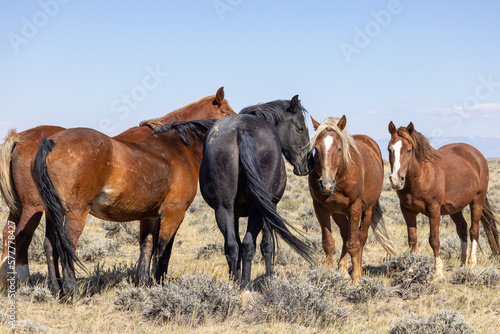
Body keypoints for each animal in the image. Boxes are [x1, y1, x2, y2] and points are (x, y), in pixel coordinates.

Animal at [0, 86, 232, 282]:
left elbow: (146, 247)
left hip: (34, 208)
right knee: (33, 240)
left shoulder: (150, 214)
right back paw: (33, 282)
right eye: (227, 112)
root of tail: (21, 138)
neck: (176, 147)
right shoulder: (172, 212)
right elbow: (161, 250)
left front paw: (144, 282)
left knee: (20, 237)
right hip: (42, 208)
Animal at [200, 95, 314, 288]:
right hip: (257, 209)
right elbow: (267, 245)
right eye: (300, 127)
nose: (307, 164)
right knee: (248, 245)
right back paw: (245, 284)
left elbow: (236, 244)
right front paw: (269, 277)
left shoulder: (235, 213)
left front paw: (235, 276)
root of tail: (241, 130)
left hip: (223, 208)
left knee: (232, 246)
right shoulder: (271, 207)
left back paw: (235, 284)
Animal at [306, 115, 396, 284]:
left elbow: (354, 244)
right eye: (316, 148)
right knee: (345, 234)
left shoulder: (354, 208)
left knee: (361, 237)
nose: (326, 184)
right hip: (338, 213)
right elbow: (328, 243)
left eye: (339, 148)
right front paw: (330, 275)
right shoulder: (320, 208)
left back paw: (358, 271)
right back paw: (342, 269)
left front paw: (356, 280)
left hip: (368, 210)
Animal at [386, 121, 500, 278]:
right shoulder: (407, 211)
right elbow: (413, 240)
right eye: (389, 149)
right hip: (455, 208)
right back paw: (462, 264)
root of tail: (477, 155)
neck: (421, 176)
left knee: (474, 230)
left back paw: (472, 265)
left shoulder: (434, 210)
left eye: (409, 150)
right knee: (462, 229)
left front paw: (438, 272)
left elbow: (434, 240)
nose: (396, 180)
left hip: (477, 200)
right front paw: (411, 270)